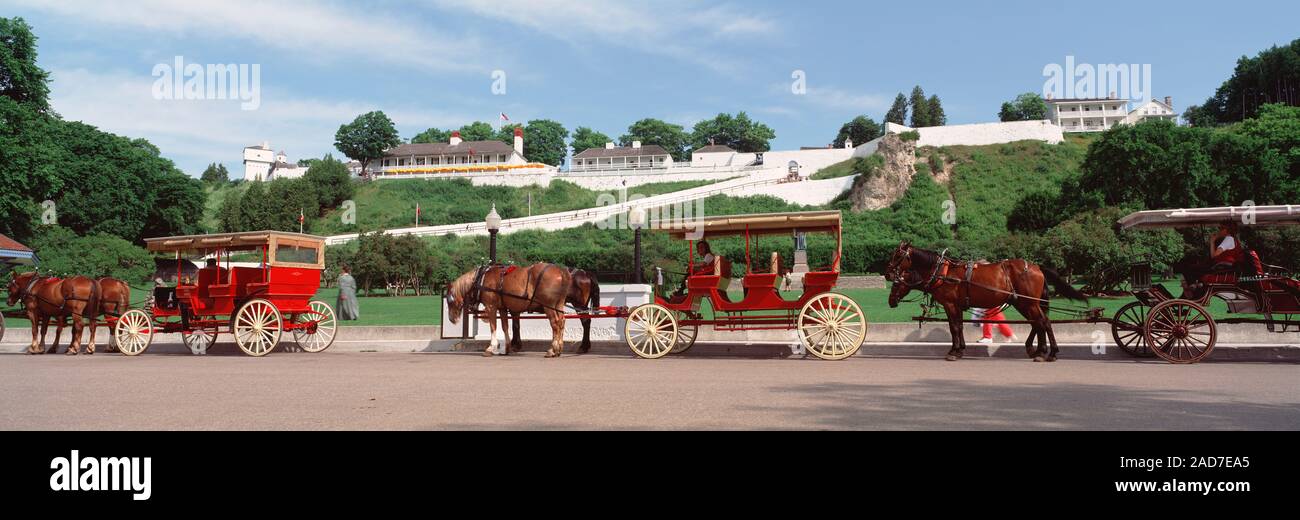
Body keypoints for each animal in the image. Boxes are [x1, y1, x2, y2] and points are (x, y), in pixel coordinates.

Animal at [444, 263, 572, 358]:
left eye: (449, 300)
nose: (451, 319)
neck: (481, 279)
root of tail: (561, 272)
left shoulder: (491, 307)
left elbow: (493, 326)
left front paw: (491, 347)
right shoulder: (502, 308)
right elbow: (505, 326)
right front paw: (507, 348)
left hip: (548, 306)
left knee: (555, 323)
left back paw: (552, 349)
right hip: (558, 305)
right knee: (562, 321)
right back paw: (558, 349)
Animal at [883, 243, 1086, 361]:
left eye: (897, 256)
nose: (887, 273)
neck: (942, 271)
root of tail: (1037, 267)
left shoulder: (950, 304)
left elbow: (954, 327)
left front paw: (954, 352)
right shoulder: (956, 306)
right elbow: (959, 326)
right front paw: (960, 349)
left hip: (1030, 303)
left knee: (1043, 322)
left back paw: (1048, 352)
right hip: (1023, 303)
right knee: (1038, 323)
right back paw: (1039, 351)